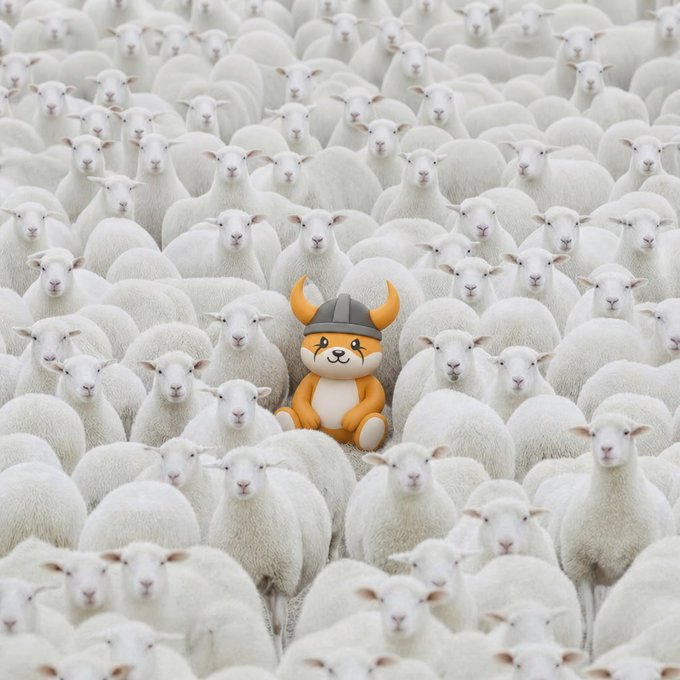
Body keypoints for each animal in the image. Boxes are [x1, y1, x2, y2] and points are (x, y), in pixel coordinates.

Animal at [207, 445, 332, 656]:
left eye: (261, 466)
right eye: (226, 468)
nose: (243, 484)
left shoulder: (282, 578)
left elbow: (277, 625)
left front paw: (279, 655)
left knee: (284, 615)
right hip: (266, 586)